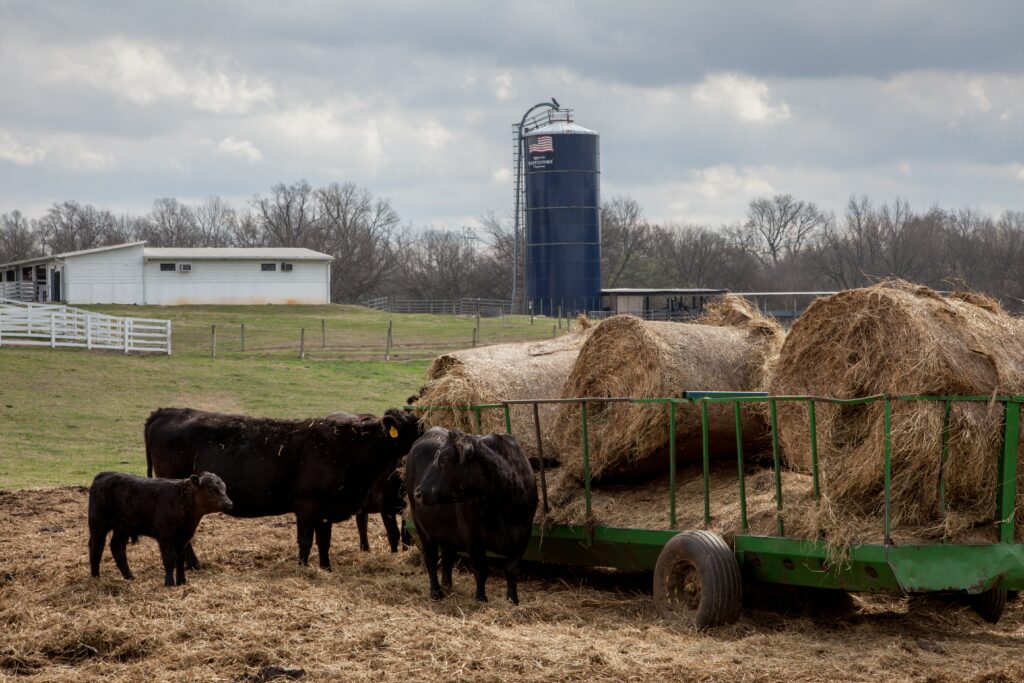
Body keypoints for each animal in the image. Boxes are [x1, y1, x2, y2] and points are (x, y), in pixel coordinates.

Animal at [87, 471, 232, 589]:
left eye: (224, 488)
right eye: (211, 489)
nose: (229, 503)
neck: (181, 500)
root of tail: (104, 474)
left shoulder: (183, 539)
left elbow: (180, 561)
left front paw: (182, 581)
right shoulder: (165, 538)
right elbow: (169, 561)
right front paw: (169, 583)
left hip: (122, 528)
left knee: (117, 548)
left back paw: (129, 576)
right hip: (98, 525)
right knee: (96, 548)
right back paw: (95, 576)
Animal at [144, 409, 419, 569]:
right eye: (415, 425)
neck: (347, 446)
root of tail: (165, 411)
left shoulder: (326, 507)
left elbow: (324, 541)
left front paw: (326, 567)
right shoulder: (307, 504)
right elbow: (306, 540)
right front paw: (303, 568)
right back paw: (193, 565)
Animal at [405, 428, 540, 602]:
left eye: (446, 459)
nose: (419, 492)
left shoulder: (524, 535)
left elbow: (511, 569)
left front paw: (513, 600)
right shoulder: (472, 536)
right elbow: (481, 569)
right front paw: (480, 598)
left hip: (447, 532)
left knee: (447, 557)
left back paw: (448, 586)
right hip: (422, 527)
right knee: (431, 559)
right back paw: (436, 592)